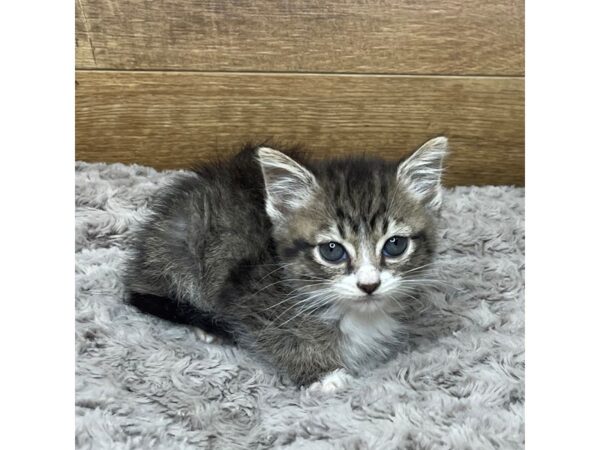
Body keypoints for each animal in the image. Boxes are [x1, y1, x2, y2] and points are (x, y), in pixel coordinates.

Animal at [124, 137, 448, 390]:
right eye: (332, 250)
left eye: (395, 245)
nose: (369, 285)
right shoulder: (245, 290)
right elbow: (272, 336)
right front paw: (323, 375)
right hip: (185, 240)